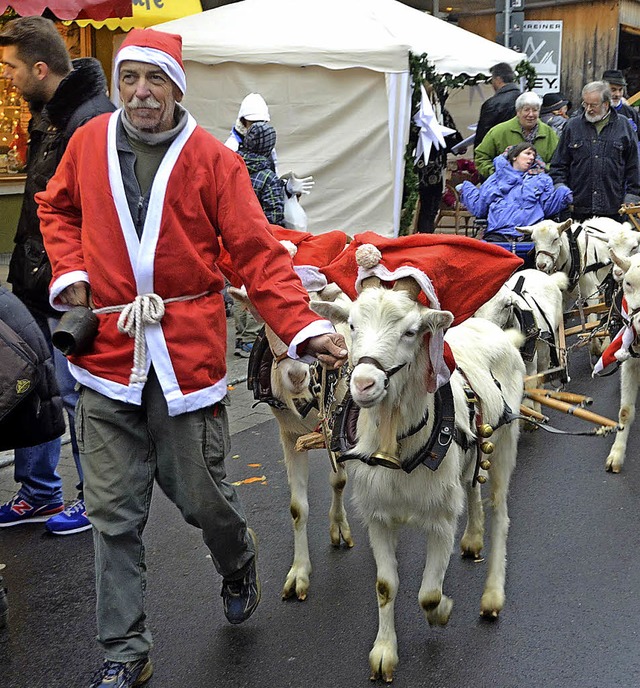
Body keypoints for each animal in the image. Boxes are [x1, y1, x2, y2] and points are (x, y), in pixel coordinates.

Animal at [312, 280, 524, 684]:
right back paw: (473, 538)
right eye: (351, 325)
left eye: (411, 332)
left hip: (506, 440)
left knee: (502, 512)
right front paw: (383, 653)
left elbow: (428, 593)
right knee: (472, 486)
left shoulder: (440, 518)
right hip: (473, 449)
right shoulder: (378, 516)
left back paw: (492, 595)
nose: (364, 383)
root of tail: (489, 326)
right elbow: (385, 585)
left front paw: (442, 611)